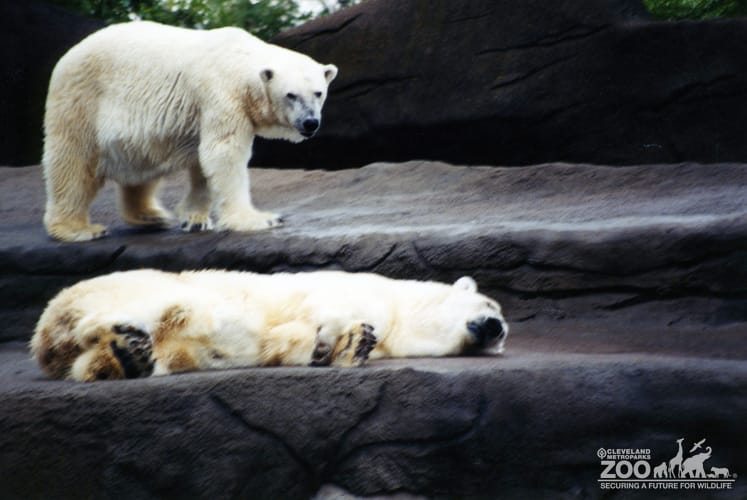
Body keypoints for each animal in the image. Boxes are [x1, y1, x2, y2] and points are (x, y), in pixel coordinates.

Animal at [42, 21, 337, 242]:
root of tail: (66, 57)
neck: (239, 61)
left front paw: (194, 219)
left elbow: (203, 161)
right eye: (291, 95)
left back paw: (151, 215)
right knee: (74, 163)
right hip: (81, 100)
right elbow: (224, 153)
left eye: (318, 93)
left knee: (140, 159)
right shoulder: (222, 95)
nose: (310, 122)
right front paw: (260, 219)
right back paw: (77, 229)